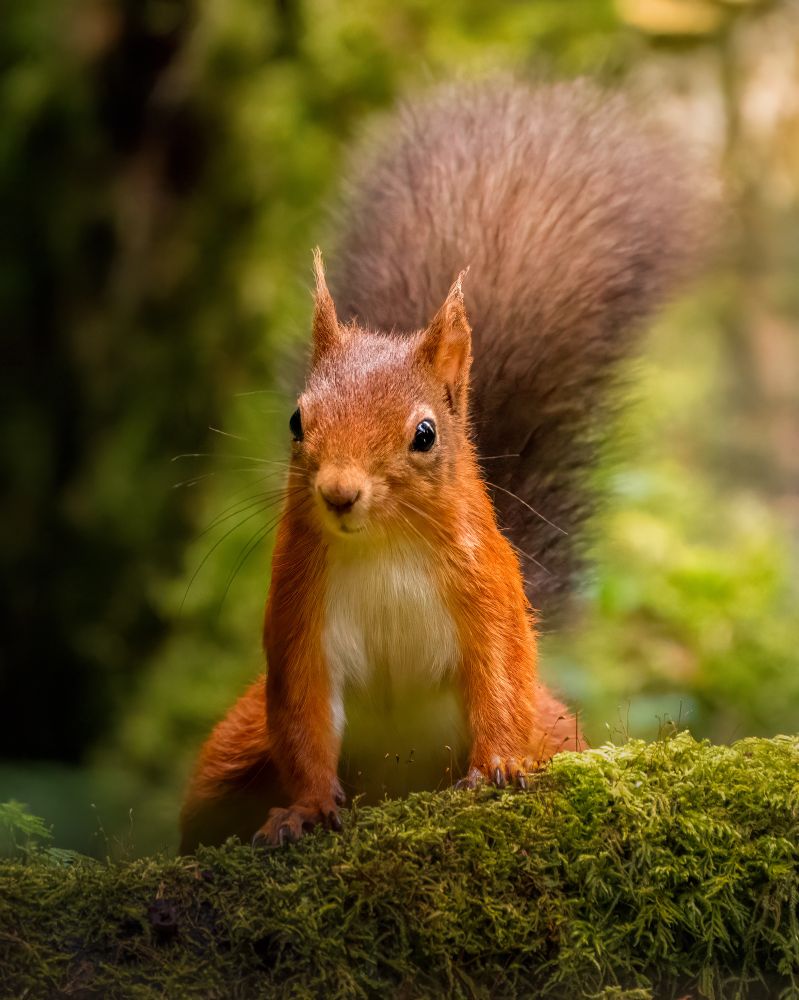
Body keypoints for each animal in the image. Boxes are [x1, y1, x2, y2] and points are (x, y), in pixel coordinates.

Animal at [179, 79, 709, 851]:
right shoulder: (299, 615)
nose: (339, 493)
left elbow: (498, 685)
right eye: (296, 421)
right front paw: (304, 809)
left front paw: (498, 770)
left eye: (425, 433)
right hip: (234, 747)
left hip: (554, 725)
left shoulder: (487, 592)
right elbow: (303, 720)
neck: (386, 546)